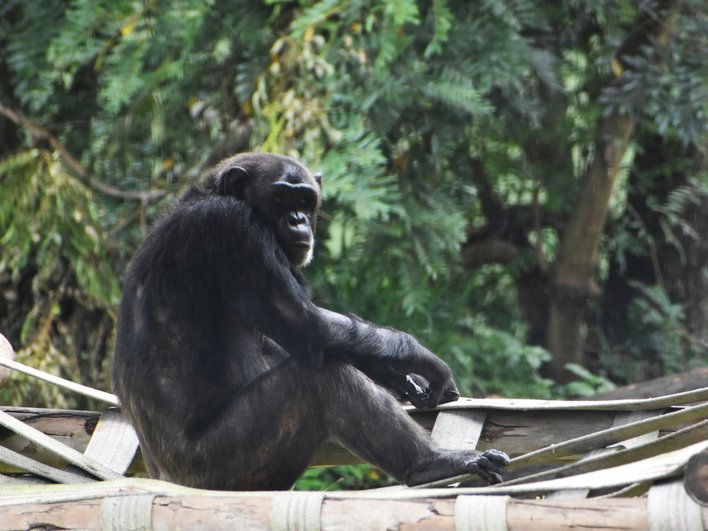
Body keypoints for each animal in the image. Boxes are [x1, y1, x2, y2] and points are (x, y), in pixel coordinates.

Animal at [113, 153, 506, 490]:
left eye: (304, 200)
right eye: (280, 199)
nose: (297, 219)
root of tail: (163, 476)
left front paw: (399, 375)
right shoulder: (233, 228)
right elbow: (309, 326)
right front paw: (424, 362)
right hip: (220, 466)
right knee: (320, 378)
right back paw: (432, 464)